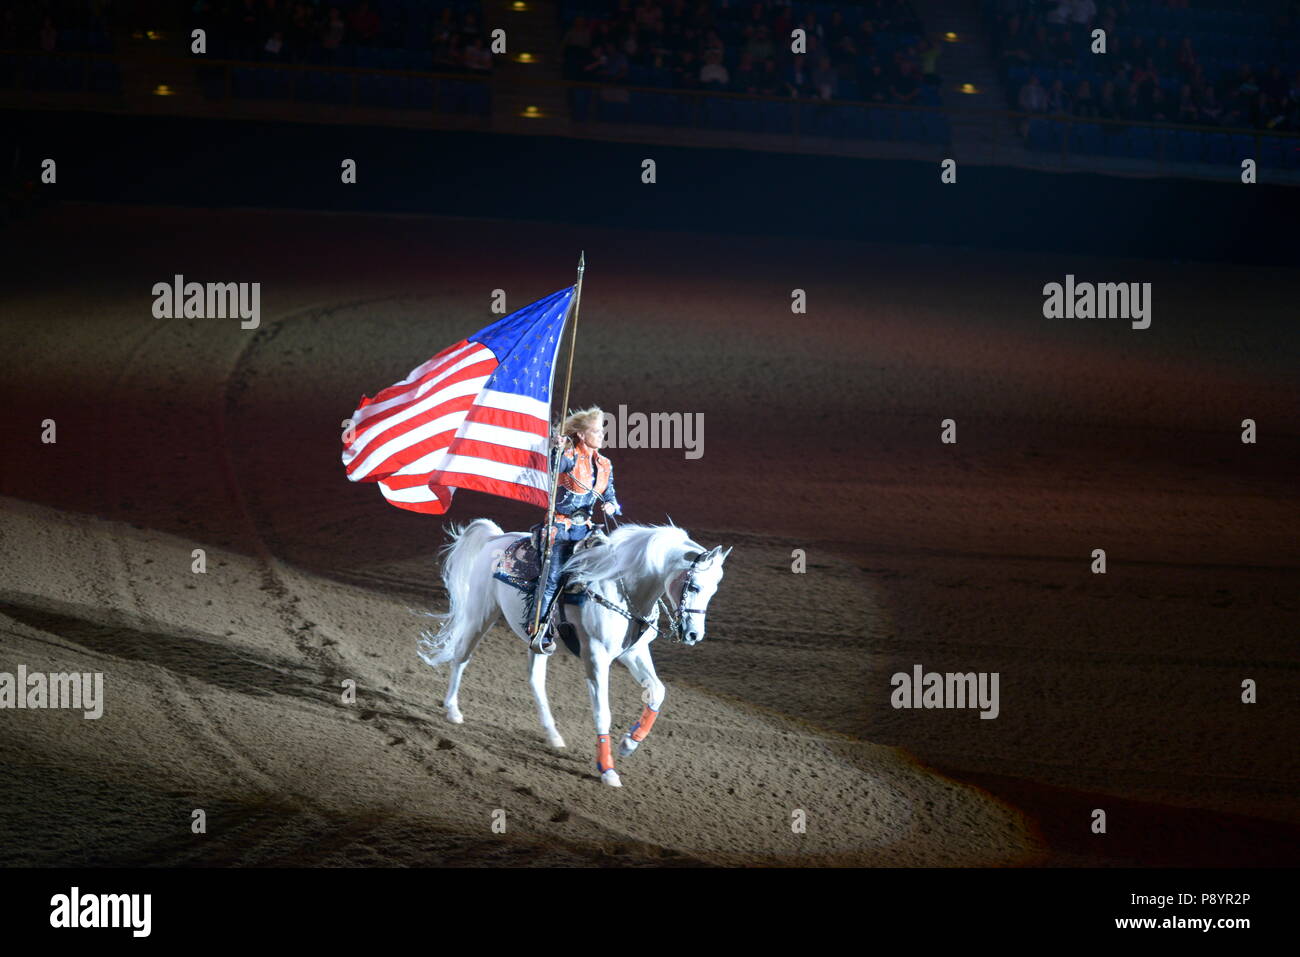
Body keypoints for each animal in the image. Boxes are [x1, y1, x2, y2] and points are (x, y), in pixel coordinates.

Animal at [415, 519, 731, 787]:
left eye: (715, 589)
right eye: (694, 586)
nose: (693, 635)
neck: (619, 587)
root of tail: (496, 537)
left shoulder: (634, 651)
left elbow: (657, 691)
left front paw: (629, 743)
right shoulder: (596, 656)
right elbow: (603, 712)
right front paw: (607, 769)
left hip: (538, 640)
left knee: (535, 680)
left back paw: (553, 735)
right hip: (481, 613)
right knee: (462, 656)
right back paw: (453, 710)